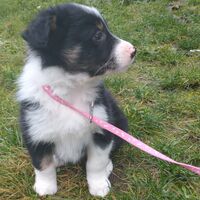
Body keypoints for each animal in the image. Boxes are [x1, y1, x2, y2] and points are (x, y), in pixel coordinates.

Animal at [17, 2, 136, 197]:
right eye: (98, 35)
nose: (134, 50)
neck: (71, 89)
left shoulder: (101, 129)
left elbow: (95, 163)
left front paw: (99, 186)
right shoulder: (34, 131)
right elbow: (42, 164)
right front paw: (45, 188)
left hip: (119, 122)